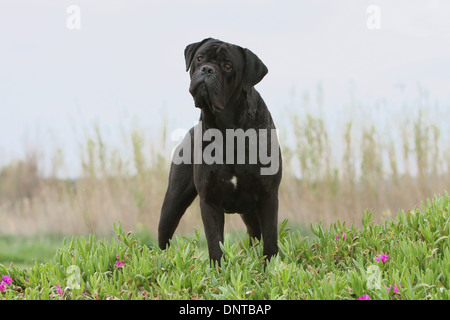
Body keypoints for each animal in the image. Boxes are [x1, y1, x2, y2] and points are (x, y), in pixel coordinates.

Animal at [158, 37, 282, 264]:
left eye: (228, 66)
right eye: (199, 58)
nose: (207, 69)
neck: (227, 127)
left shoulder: (268, 196)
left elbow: (270, 241)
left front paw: (270, 268)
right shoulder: (210, 200)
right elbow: (215, 244)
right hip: (172, 203)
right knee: (164, 237)